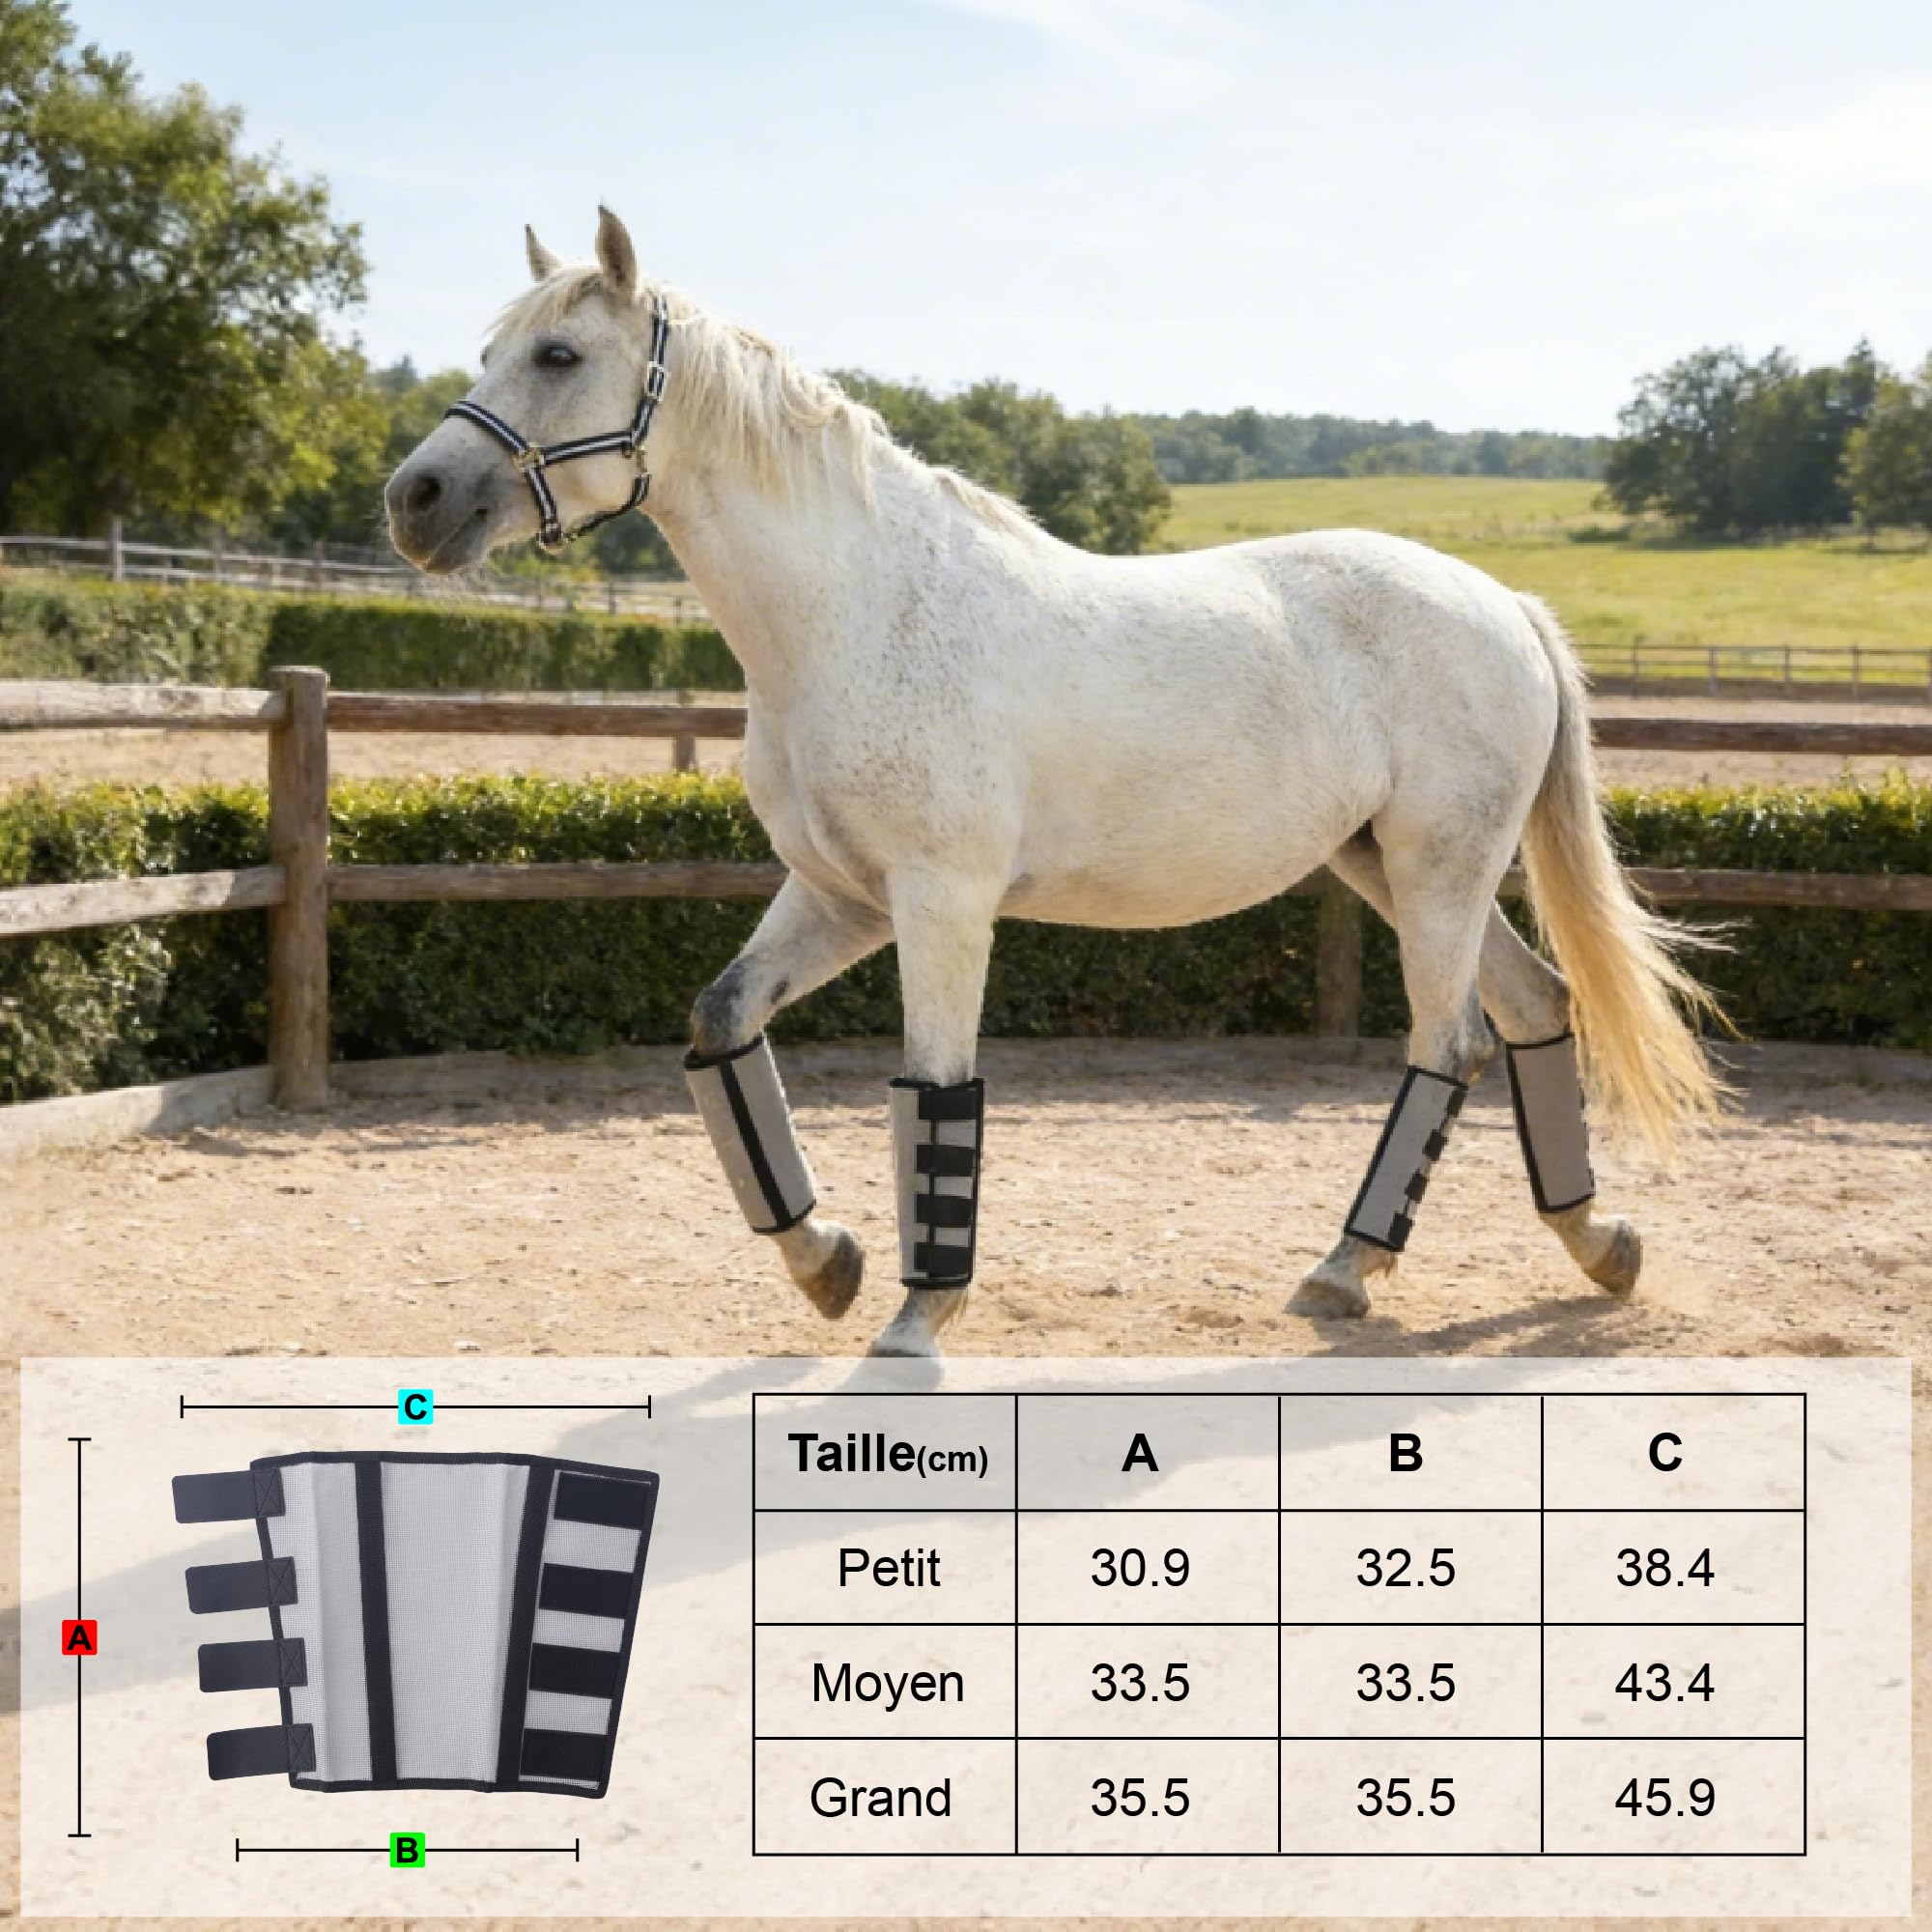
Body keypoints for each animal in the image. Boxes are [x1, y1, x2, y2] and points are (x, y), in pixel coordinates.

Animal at [386, 208, 1722, 1359]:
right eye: (491, 349)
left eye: (560, 353)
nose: (416, 500)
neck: (852, 608)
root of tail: (1503, 604)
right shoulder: (840, 897)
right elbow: (723, 1024)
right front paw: (827, 1262)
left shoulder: (940, 902)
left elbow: (936, 1092)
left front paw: (915, 1320)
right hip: (1391, 866)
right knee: (1535, 1005)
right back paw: (1596, 1244)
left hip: (1439, 871)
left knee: (1449, 1041)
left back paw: (1346, 1268)